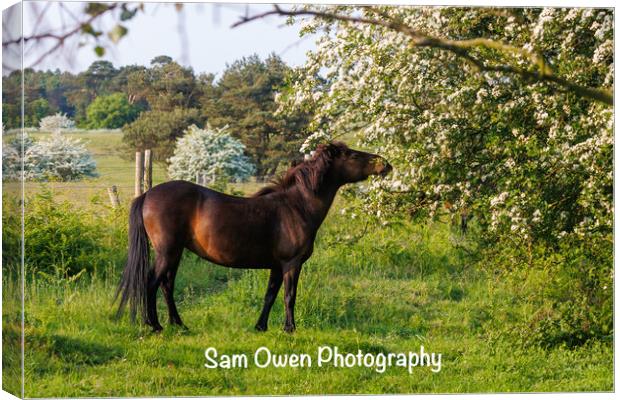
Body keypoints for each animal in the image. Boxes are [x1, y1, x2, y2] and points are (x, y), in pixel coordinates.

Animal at [114, 142, 390, 332]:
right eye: (353, 155)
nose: (385, 163)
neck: (297, 206)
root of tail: (147, 195)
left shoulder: (277, 266)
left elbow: (270, 296)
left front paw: (261, 327)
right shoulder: (292, 264)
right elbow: (289, 296)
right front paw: (290, 329)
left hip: (176, 252)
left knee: (167, 285)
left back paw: (178, 324)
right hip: (168, 251)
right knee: (151, 282)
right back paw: (155, 325)